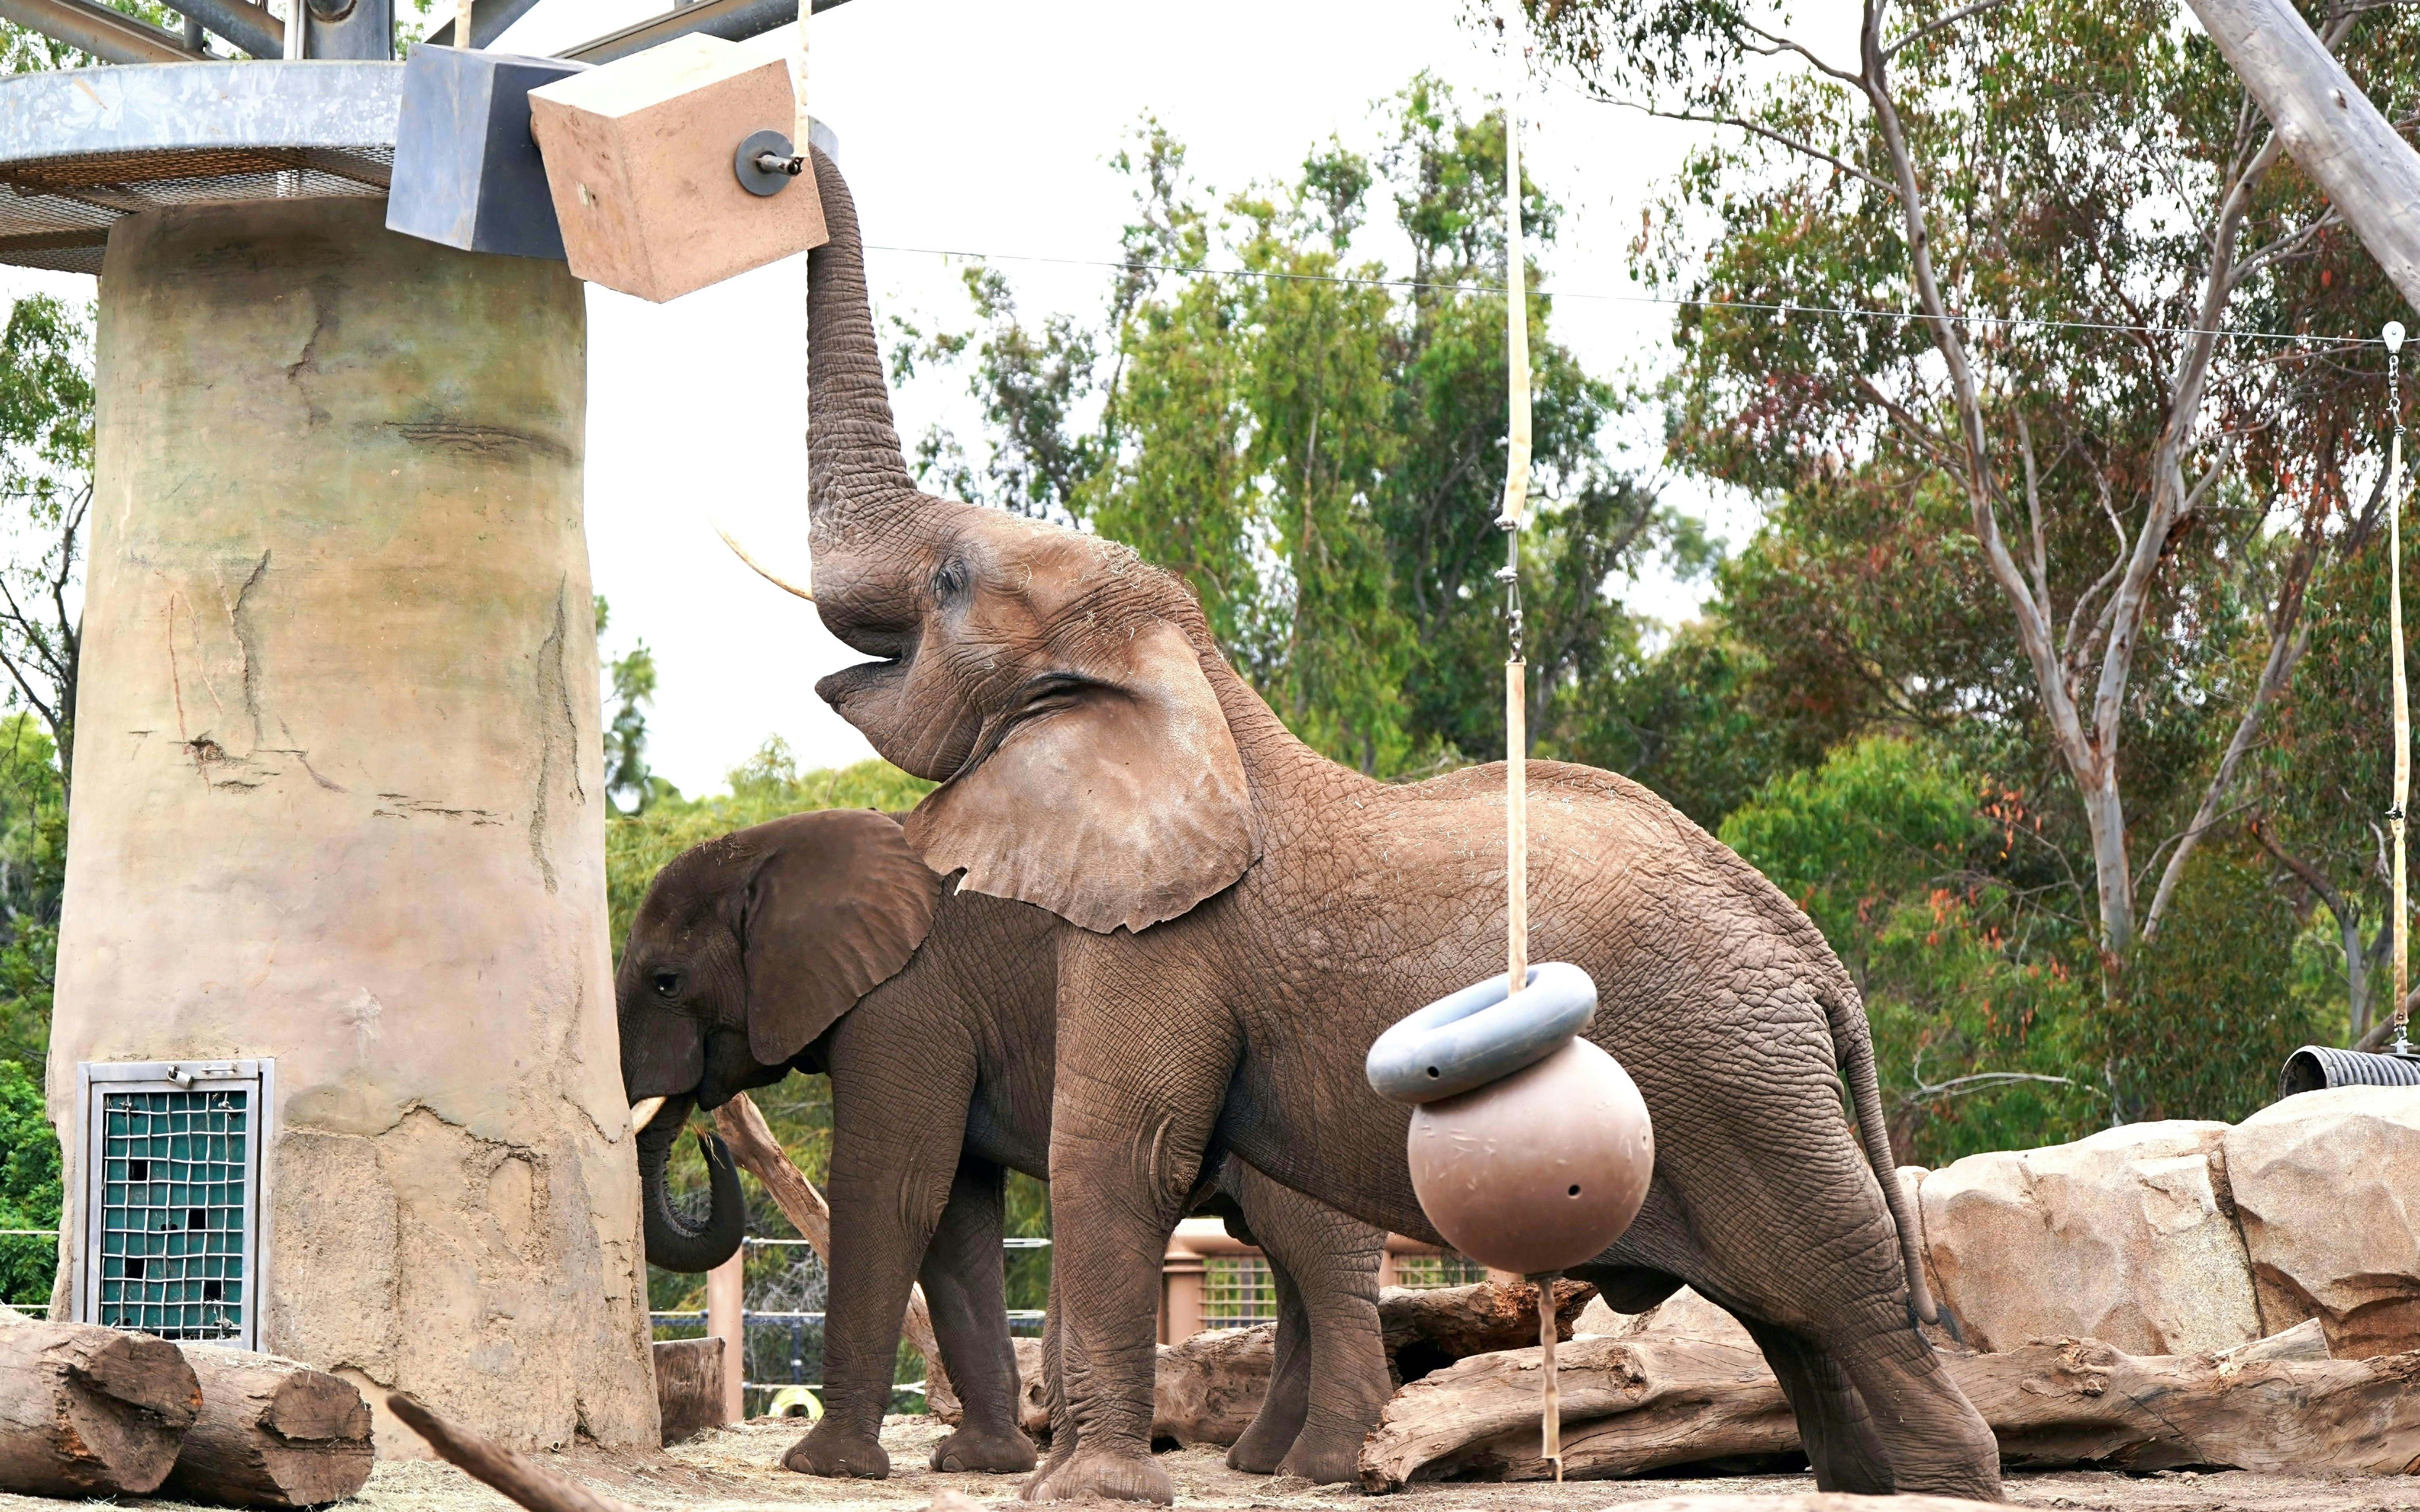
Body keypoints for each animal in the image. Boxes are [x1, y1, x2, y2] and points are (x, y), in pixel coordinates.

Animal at [615, 807, 1394, 1484]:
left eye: (666, 983)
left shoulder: (905, 1003)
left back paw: (1320, 1468)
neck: (783, 848)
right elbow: (955, 1214)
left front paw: (823, 1466)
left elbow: (893, 1190)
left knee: (1317, 1260)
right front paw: (984, 1463)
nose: (712, 1140)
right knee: (1293, 1263)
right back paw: (1265, 1462)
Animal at [734, 145, 2007, 1506]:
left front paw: (1083, 1492)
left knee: (1844, 1298)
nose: (782, 150)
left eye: (950, 583)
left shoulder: (1172, 936)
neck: (1191, 683)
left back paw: (1956, 1470)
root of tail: (1816, 957)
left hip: (1744, 1091)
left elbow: (1117, 1156)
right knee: (1802, 1328)